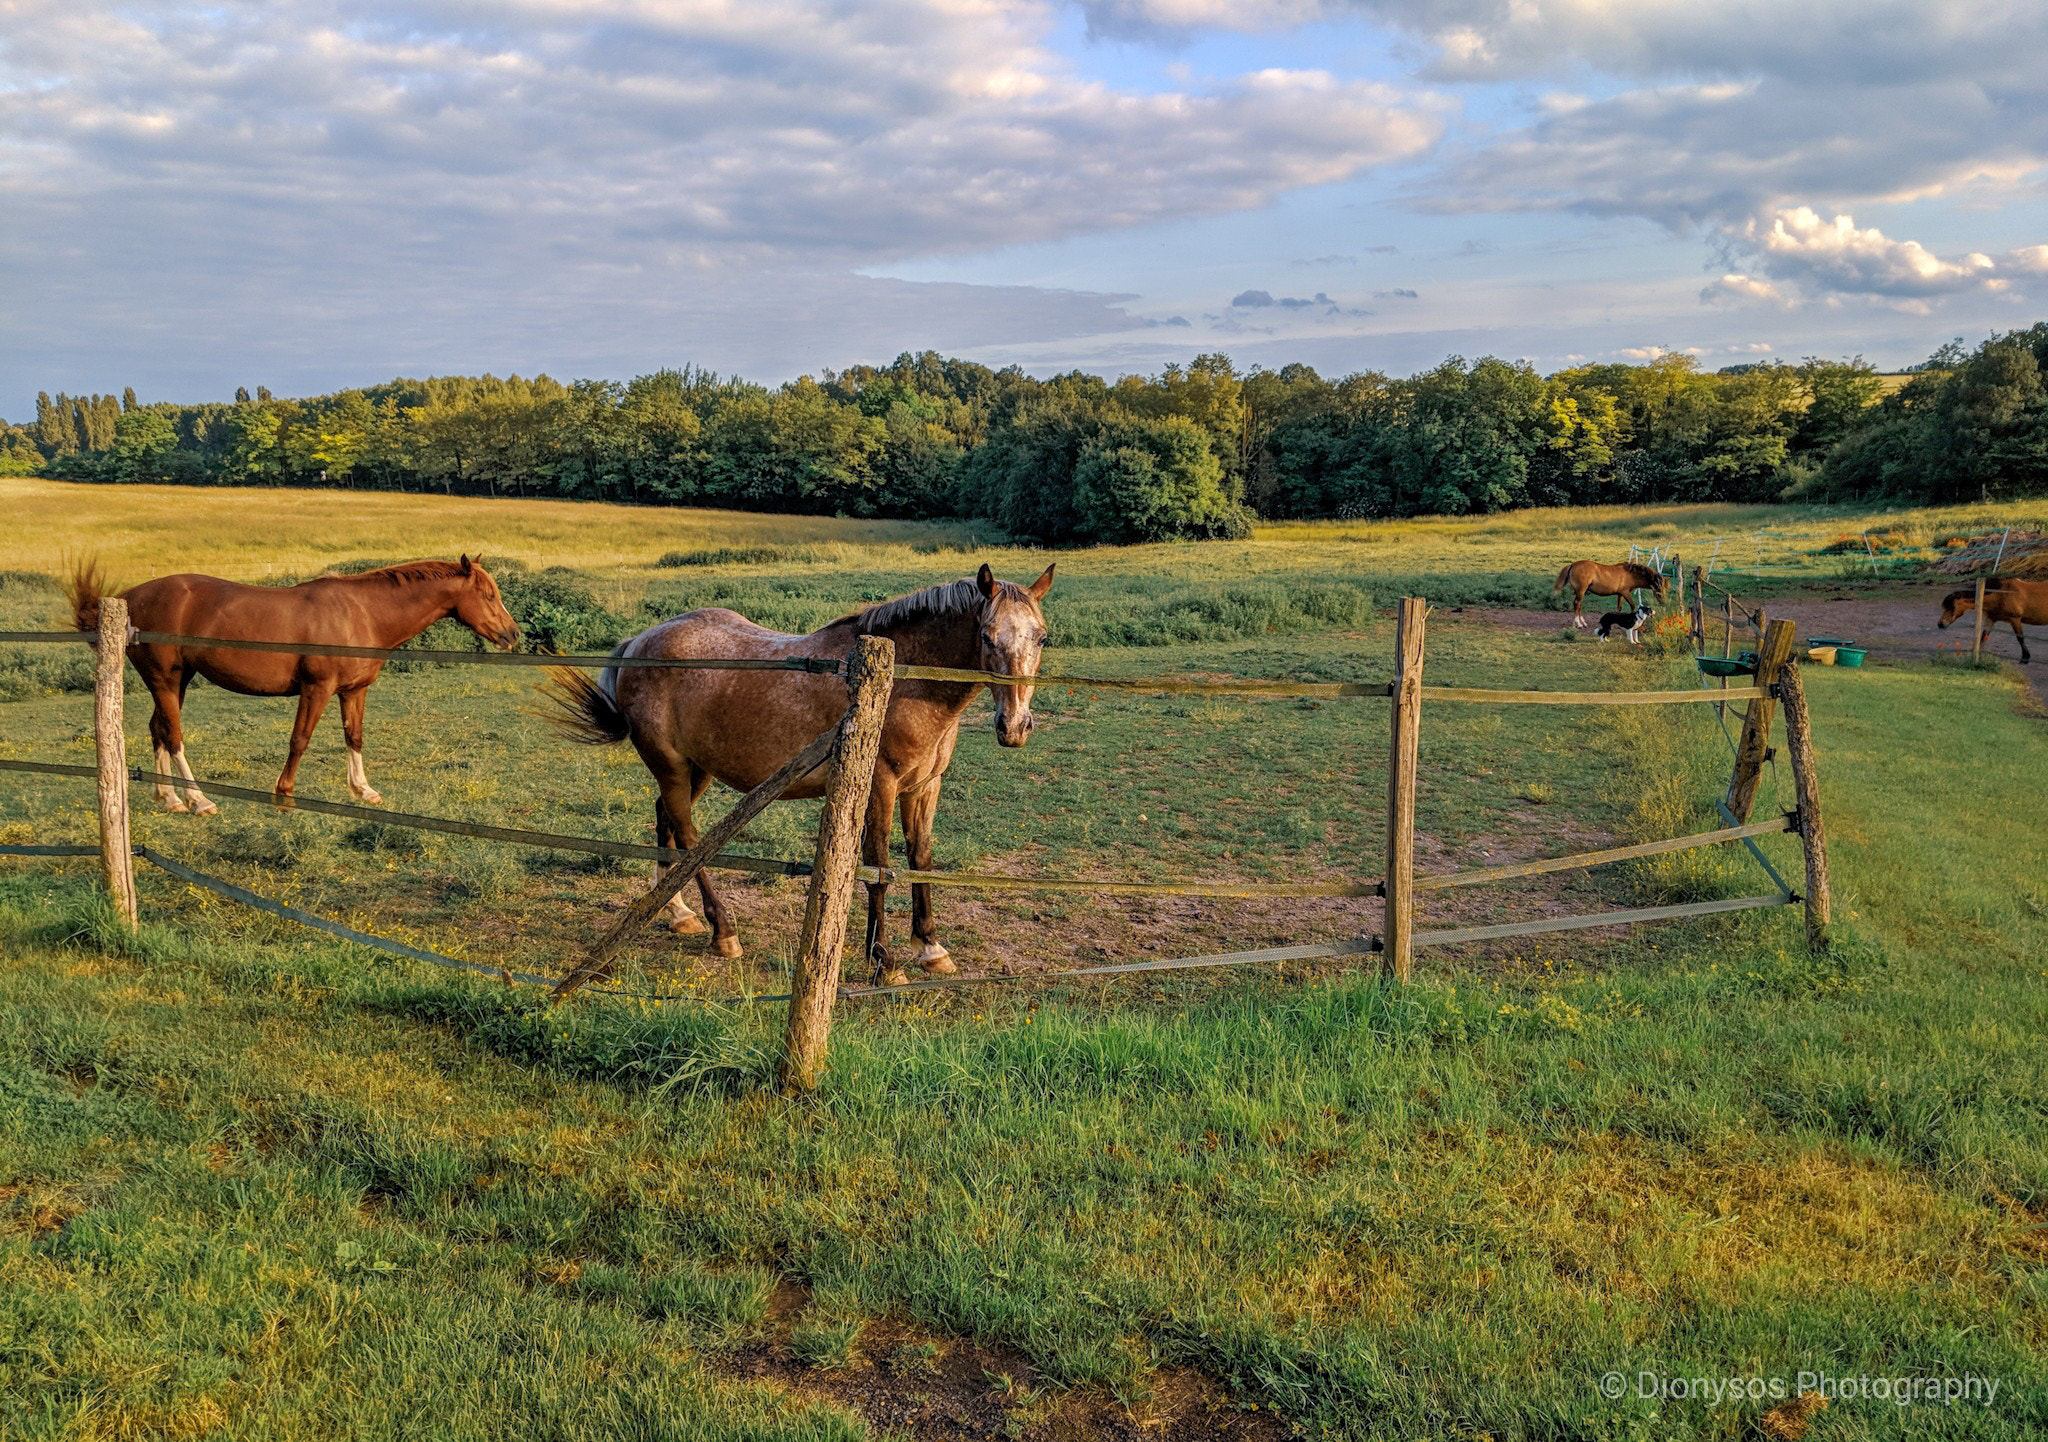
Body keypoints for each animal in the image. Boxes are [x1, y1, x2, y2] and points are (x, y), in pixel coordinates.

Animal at [68, 557, 520, 813]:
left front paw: (363, 790)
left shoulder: (354, 691)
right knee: (174, 736)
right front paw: (283, 794)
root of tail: (129, 597)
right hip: (165, 679)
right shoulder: (316, 689)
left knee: (158, 730)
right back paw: (199, 800)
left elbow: (354, 736)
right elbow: (299, 740)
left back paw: (170, 799)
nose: (512, 634)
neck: (362, 613)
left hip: (175, 682)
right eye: (488, 594)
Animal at [542, 562, 1054, 985]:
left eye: (1042, 637)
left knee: (667, 821)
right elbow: (879, 869)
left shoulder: (924, 788)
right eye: (986, 635)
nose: (1014, 725)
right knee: (688, 833)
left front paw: (930, 947)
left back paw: (677, 911)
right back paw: (722, 930)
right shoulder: (879, 787)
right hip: (669, 765)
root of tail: (639, 643)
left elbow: (921, 861)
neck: (900, 680)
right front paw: (884, 961)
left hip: (695, 768)